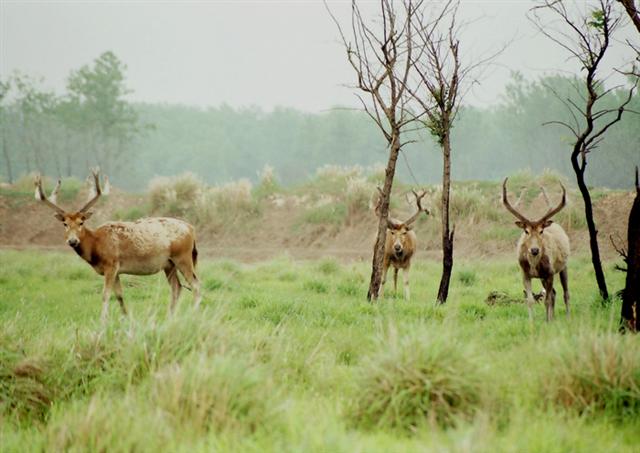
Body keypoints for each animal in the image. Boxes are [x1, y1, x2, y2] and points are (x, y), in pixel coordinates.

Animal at [34, 169, 202, 322]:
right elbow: (119, 295)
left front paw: (102, 322)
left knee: (195, 285)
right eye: (65, 224)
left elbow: (105, 294)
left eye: (81, 222)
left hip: (183, 257)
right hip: (169, 264)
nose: (72, 241)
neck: (96, 246)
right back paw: (170, 318)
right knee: (177, 287)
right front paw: (126, 319)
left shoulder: (111, 264)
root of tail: (192, 229)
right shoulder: (117, 270)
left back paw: (193, 315)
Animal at [502, 178, 570, 322]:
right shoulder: (525, 274)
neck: (534, 265)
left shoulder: (550, 272)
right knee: (554, 293)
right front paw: (532, 322)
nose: (534, 250)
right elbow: (530, 300)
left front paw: (548, 322)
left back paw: (567, 317)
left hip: (563, 266)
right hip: (542, 277)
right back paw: (552, 317)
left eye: (541, 231)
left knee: (565, 293)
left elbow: (547, 300)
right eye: (526, 231)